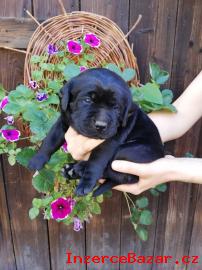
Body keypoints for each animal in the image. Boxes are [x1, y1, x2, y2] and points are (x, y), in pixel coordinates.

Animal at [28, 67, 164, 195]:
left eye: (116, 107)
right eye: (88, 100)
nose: (101, 125)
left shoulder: (109, 142)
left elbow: (96, 161)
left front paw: (86, 183)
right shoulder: (63, 121)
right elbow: (51, 140)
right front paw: (37, 160)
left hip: (132, 150)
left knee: (119, 174)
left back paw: (78, 169)